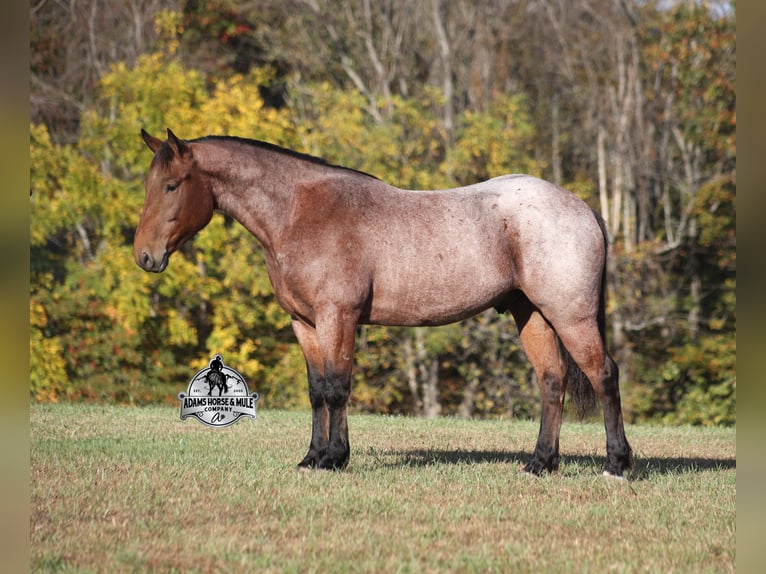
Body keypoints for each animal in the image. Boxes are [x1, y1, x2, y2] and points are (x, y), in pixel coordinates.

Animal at [134, 128, 633, 477]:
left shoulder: (338, 317)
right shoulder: (305, 323)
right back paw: (540, 464)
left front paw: (334, 459)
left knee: (604, 374)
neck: (301, 212)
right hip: (531, 314)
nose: (145, 256)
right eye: (149, 184)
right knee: (552, 381)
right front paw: (312, 457)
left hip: (571, 315)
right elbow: (318, 391)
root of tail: (582, 208)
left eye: (173, 185)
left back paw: (617, 464)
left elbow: (337, 388)